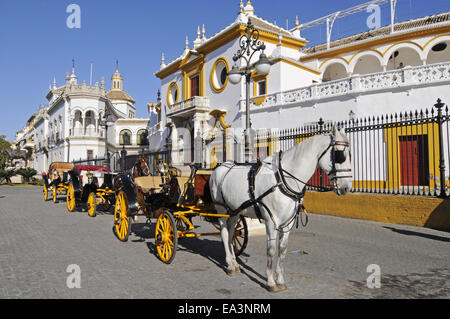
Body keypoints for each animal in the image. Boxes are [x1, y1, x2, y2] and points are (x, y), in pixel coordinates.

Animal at [209, 126, 354, 292]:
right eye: (340, 155)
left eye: (350, 155)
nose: (346, 187)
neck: (283, 179)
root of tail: (219, 167)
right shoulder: (271, 221)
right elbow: (271, 251)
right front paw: (271, 282)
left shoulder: (288, 222)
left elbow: (283, 250)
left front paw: (280, 280)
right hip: (221, 209)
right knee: (225, 233)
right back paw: (229, 265)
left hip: (235, 210)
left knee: (231, 233)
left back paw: (234, 264)